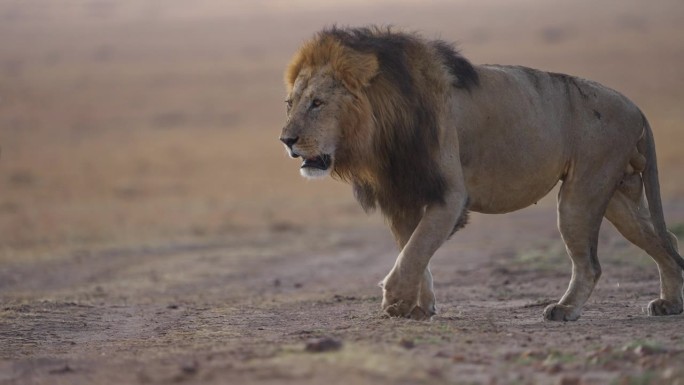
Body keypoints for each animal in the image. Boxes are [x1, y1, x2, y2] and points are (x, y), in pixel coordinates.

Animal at [280, 25, 684, 320]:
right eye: (289, 103)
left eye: (318, 103)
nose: (286, 140)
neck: (379, 129)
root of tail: (634, 106)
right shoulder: (404, 195)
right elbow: (414, 249)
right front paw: (419, 307)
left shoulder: (449, 194)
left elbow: (416, 249)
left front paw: (395, 300)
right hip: (616, 196)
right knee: (665, 241)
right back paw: (669, 304)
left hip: (582, 194)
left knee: (592, 264)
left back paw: (565, 310)